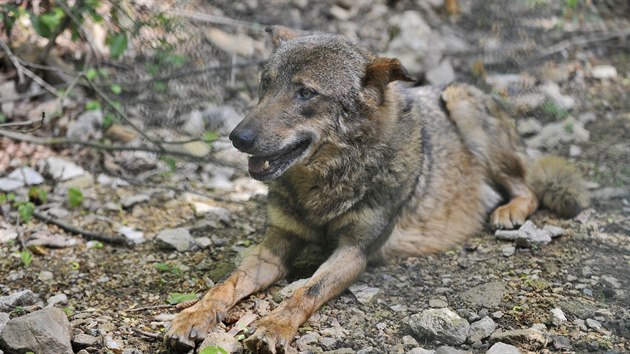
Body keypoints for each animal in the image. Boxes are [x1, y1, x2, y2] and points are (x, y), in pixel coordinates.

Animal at [165, 26, 592, 352]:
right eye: (265, 85)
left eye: (306, 93)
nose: (238, 138)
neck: (323, 187)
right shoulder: (273, 250)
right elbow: (226, 285)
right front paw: (192, 315)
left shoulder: (354, 252)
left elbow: (307, 292)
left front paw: (273, 326)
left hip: (462, 103)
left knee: (529, 186)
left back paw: (510, 211)